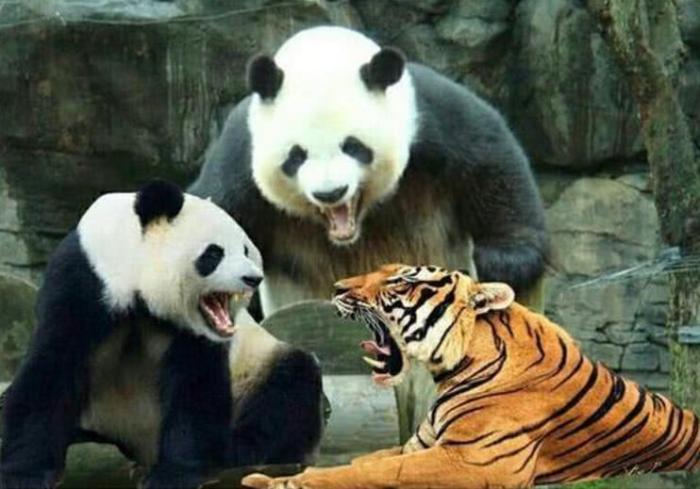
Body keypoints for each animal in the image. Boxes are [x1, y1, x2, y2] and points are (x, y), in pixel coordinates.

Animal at [243, 264, 700, 489]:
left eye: (399, 280)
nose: (337, 287)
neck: (450, 370)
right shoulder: (417, 445)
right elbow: (362, 460)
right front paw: (265, 477)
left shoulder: (475, 461)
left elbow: (368, 473)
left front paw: (287, 484)